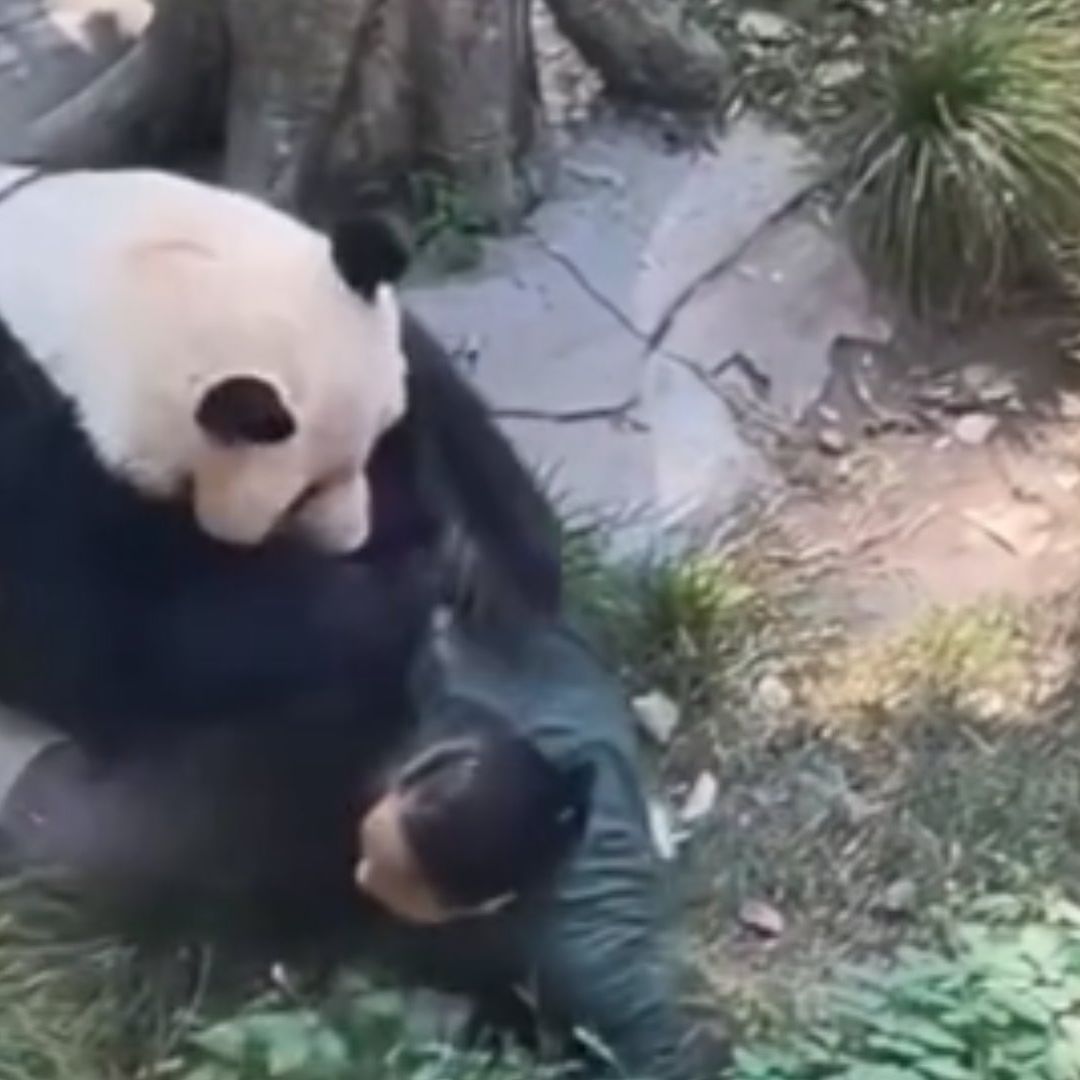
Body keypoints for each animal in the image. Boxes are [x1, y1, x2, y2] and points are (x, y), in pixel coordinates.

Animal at [0, 165, 562, 750]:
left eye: (381, 437)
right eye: (302, 497)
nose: (356, 539)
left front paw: (477, 563)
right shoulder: (30, 442)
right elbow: (119, 636)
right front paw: (397, 593)